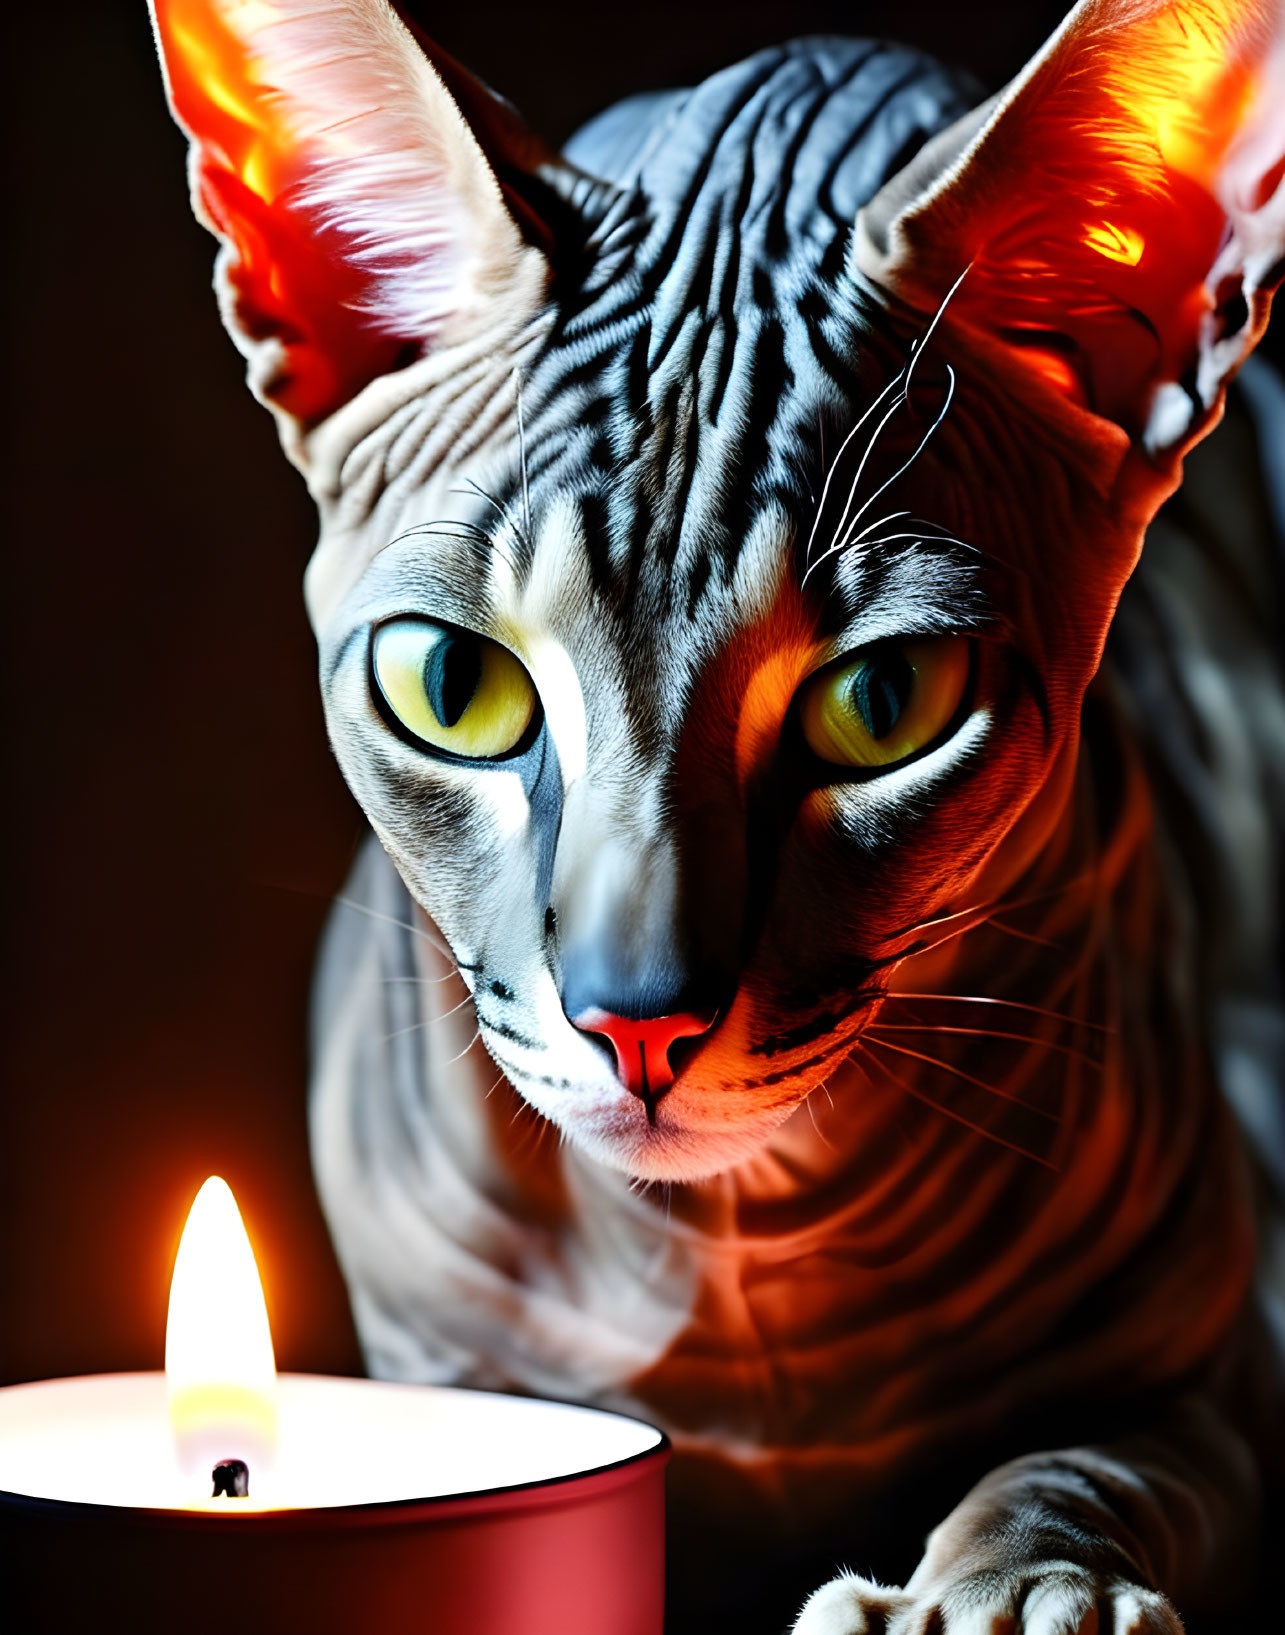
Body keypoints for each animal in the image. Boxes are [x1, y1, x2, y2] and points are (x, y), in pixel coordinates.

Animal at [150, 0, 1281, 1628]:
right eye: (451, 687)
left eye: (884, 700)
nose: (636, 1022)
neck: (733, 1252)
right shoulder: (442, 1364)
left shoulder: (1217, 1379)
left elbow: (1084, 1459)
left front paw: (1007, 1588)